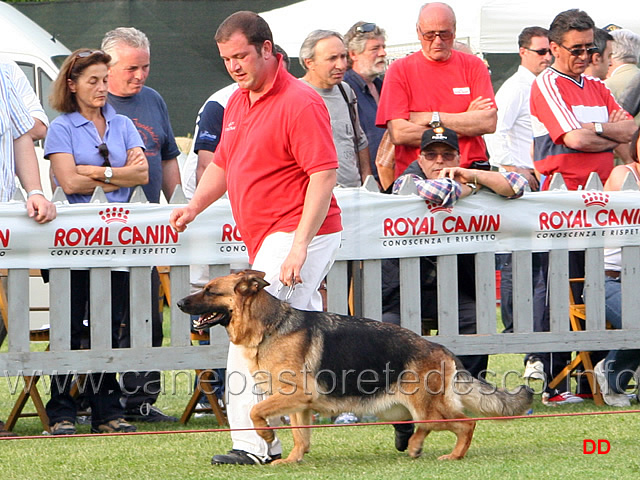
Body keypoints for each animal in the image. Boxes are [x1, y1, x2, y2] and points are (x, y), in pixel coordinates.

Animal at [178, 272, 532, 464]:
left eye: (210, 290)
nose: (180, 303)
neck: (270, 326)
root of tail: (442, 350)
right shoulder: (299, 405)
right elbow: (300, 436)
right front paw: (292, 460)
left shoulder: (292, 397)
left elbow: (255, 412)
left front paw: (266, 434)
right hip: (405, 408)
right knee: (425, 426)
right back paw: (415, 446)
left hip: (426, 406)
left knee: (466, 423)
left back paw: (451, 455)